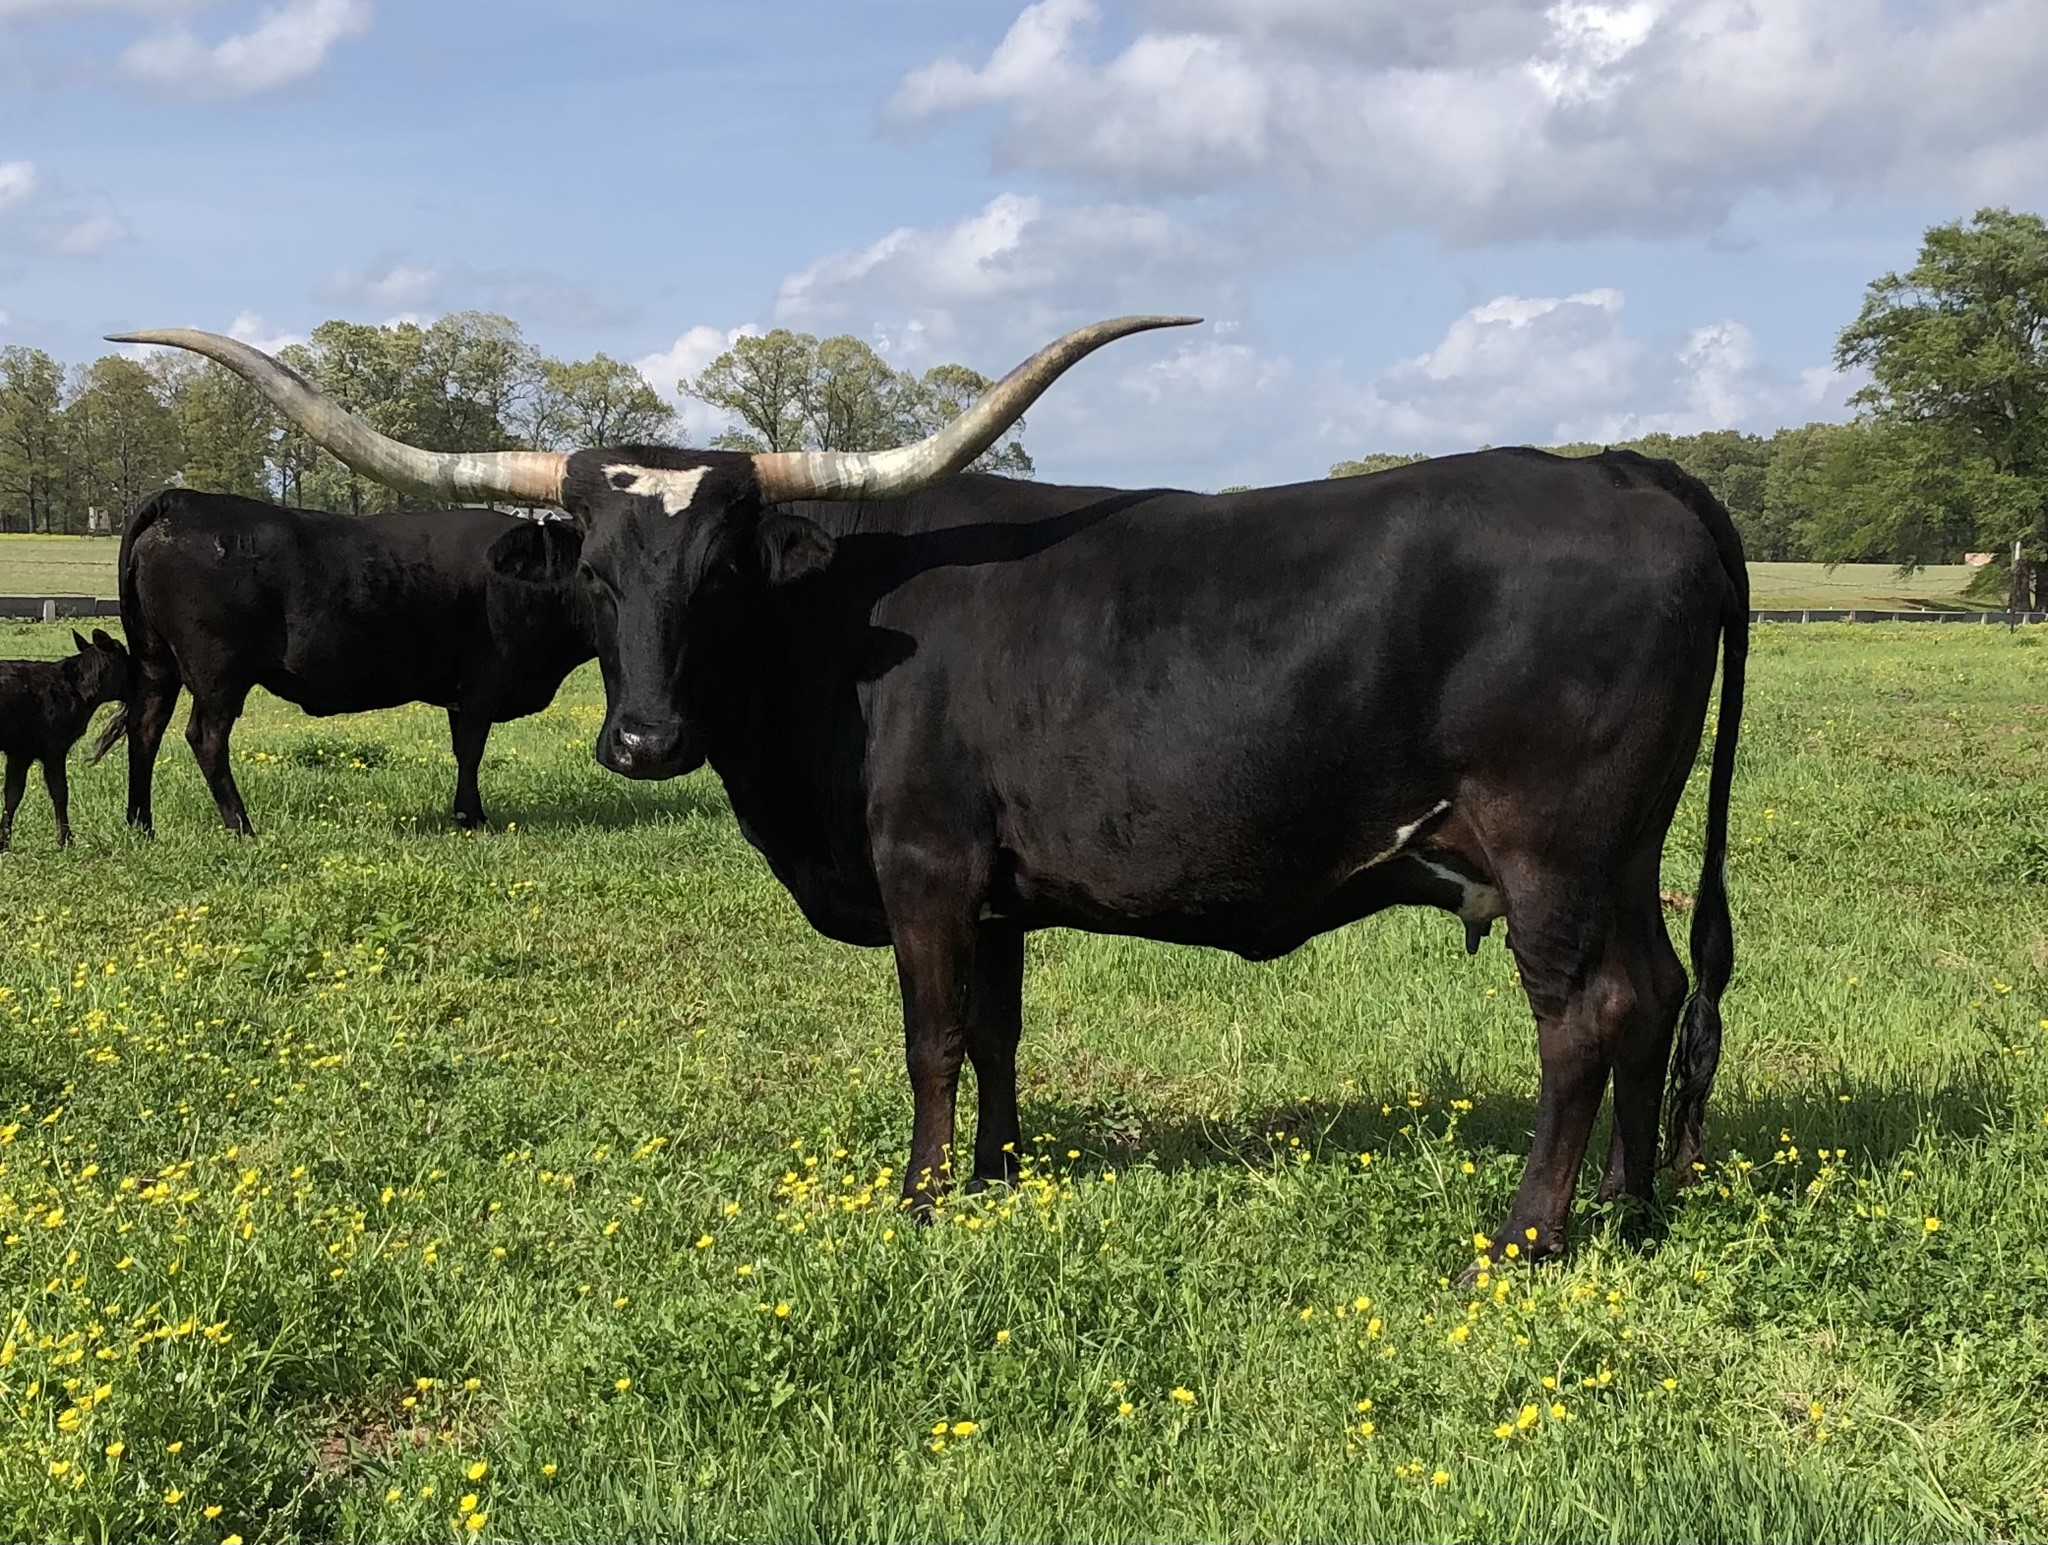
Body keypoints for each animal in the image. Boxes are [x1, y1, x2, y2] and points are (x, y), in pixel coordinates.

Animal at [0, 628, 131, 850]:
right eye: (126, 656)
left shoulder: (20, 752)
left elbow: (12, 794)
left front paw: (3, 842)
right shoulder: (55, 748)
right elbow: (60, 791)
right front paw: (66, 840)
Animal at [111, 488, 592, 835]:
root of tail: (184, 499)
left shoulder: (464, 692)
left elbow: (464, 750)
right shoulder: (482, 683)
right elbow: (470, 750)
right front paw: (473, 818)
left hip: (156, 662)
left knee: (145, 728)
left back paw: (141, 824)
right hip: (218, 673)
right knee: (206, 738)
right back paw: (241, 825)